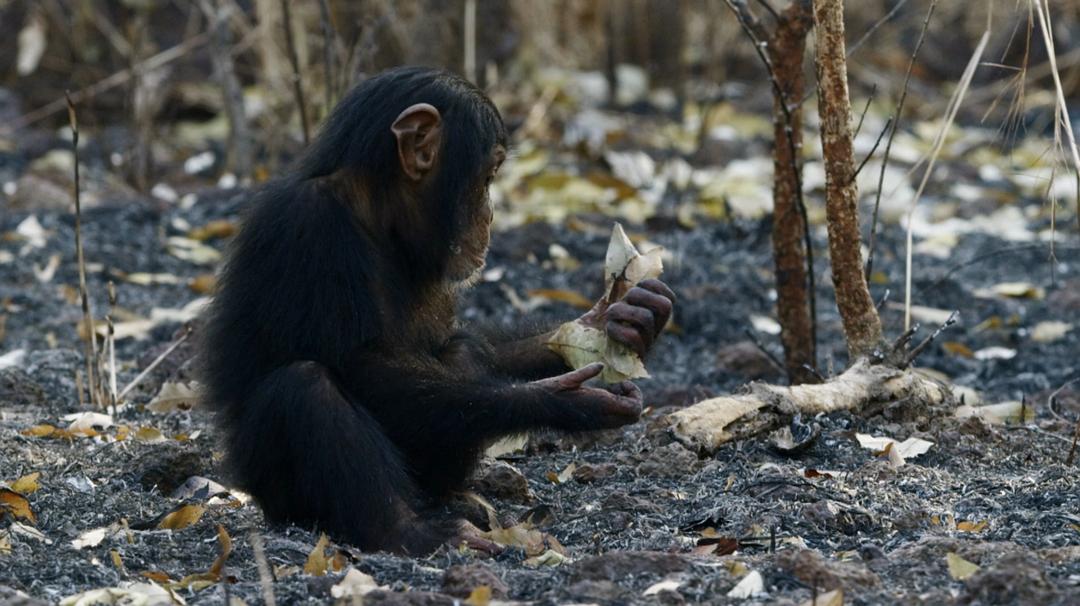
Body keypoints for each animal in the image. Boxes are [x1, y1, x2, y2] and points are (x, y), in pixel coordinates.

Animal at [200, 67, 673, 553]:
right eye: (489, 173)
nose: (491, 213)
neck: (375, 215)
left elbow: (465, 342)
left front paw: (620, 320)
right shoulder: (308, 227)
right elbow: (365, 370)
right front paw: (560, 402)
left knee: (461, 351)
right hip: (281, 496)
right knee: (306, 386)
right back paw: (412, 531)